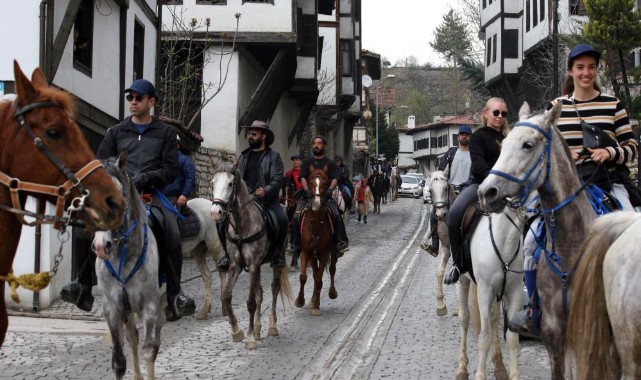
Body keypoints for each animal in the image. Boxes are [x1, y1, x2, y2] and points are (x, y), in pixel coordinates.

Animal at [96, 155, 165, 380]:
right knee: (132, 336)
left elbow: (150, 351)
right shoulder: (112, 309)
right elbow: (119, 361)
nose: (101, 246)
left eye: (117, 198)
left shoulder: (150, 306)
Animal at [294, 168, 338, 314]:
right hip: (313, 255)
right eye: (310, 182)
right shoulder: (305, 252)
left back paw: (331, 293)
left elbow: (319, 279)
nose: (317, 203)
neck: (316, 224)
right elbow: (304, 277)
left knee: (331, 269)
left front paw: (316, 306)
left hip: (333, 251)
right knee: (315, 273)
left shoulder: (324, 253)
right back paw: (312, 300)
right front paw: (300, 300)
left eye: (325, 183)